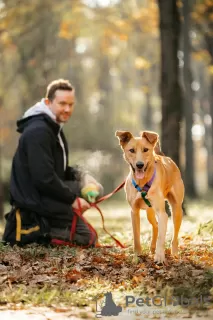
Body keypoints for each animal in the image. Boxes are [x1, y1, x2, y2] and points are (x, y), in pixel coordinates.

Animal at [115, 129, 184, 262]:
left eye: (146, 149)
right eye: (131, 150)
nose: (139, 165)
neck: (142, 182)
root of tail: (164, 157)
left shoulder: (162, 213)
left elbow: (162, 238)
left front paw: (159, 257)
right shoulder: (134, 211)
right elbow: (136, 236)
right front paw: (137, 255)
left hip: (176, 209)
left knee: (175, 235)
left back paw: (174, 252)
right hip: (149, 212)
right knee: (155, 226)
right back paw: (152, 248)